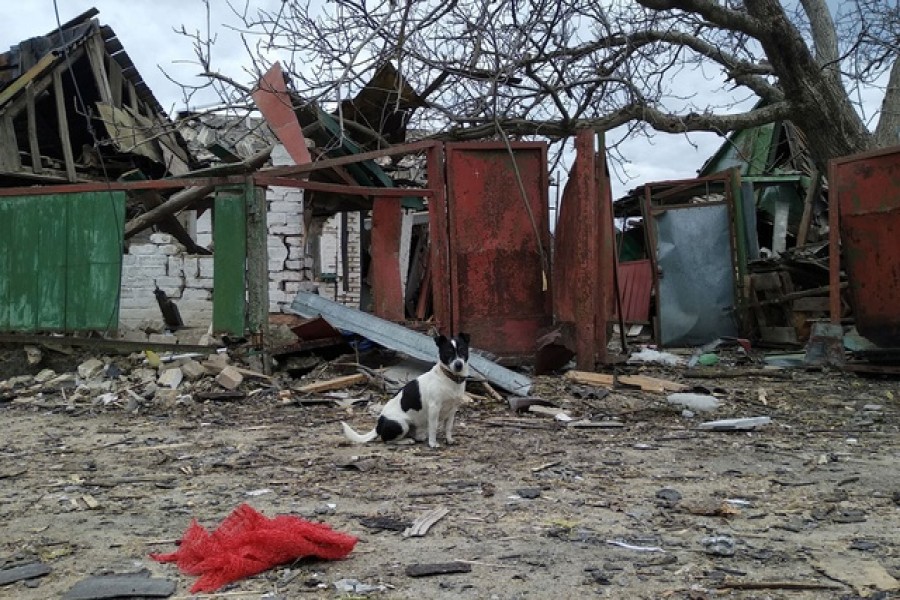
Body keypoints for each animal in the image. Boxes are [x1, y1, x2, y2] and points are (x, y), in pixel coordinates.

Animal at [342, 336, 472, 448]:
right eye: (448, 352)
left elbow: (448, 428)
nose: (459, 364)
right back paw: (406, 441)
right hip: (401, 424)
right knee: (387, 440)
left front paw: (449, 440)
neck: (449, 378)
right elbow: (433, 427)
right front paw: (433, 443)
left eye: (463, 350)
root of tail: (379, 425)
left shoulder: (452, 410)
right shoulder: (434, 408)